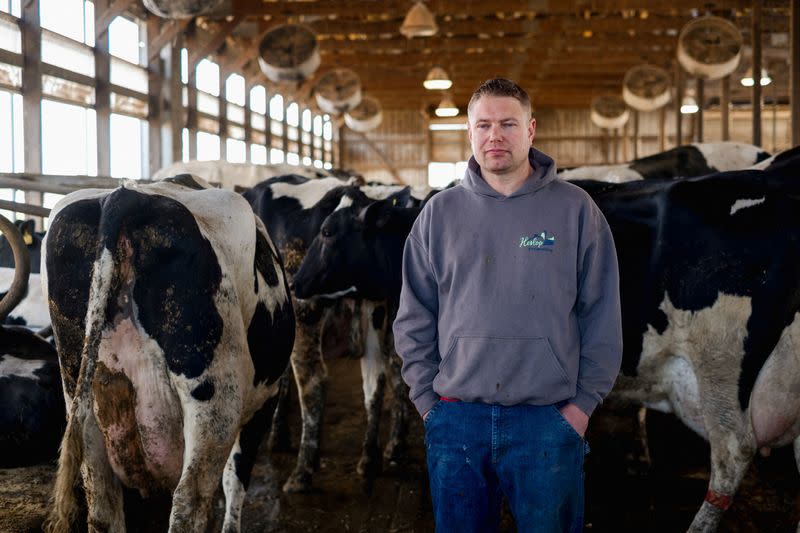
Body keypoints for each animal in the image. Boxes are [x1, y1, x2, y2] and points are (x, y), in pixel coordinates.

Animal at [42, 175, 296, 532]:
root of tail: (123, 197)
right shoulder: (264, 400)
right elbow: (235, 481)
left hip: (80, 392)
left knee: (101, 500)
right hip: (215, 395)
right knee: (190, 500)